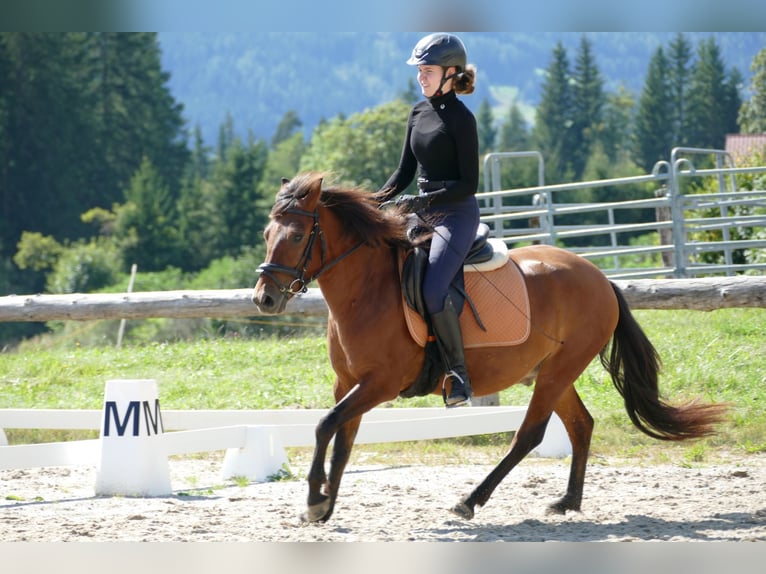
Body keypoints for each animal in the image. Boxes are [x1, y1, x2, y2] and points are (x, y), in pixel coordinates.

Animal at [255, 172, 728, 528]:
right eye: (266, 234)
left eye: (296, 236)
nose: (265, 299)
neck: (367, 291)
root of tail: (597, 276)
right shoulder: (349, 384)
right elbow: (342, 439)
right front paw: (324, 504)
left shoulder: (381, 383)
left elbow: (325, 426)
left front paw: (314, 500)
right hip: (551, 372)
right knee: (581, 425)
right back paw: (567, 502)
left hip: (558, 371)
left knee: (530, 434)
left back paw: (470, 501)